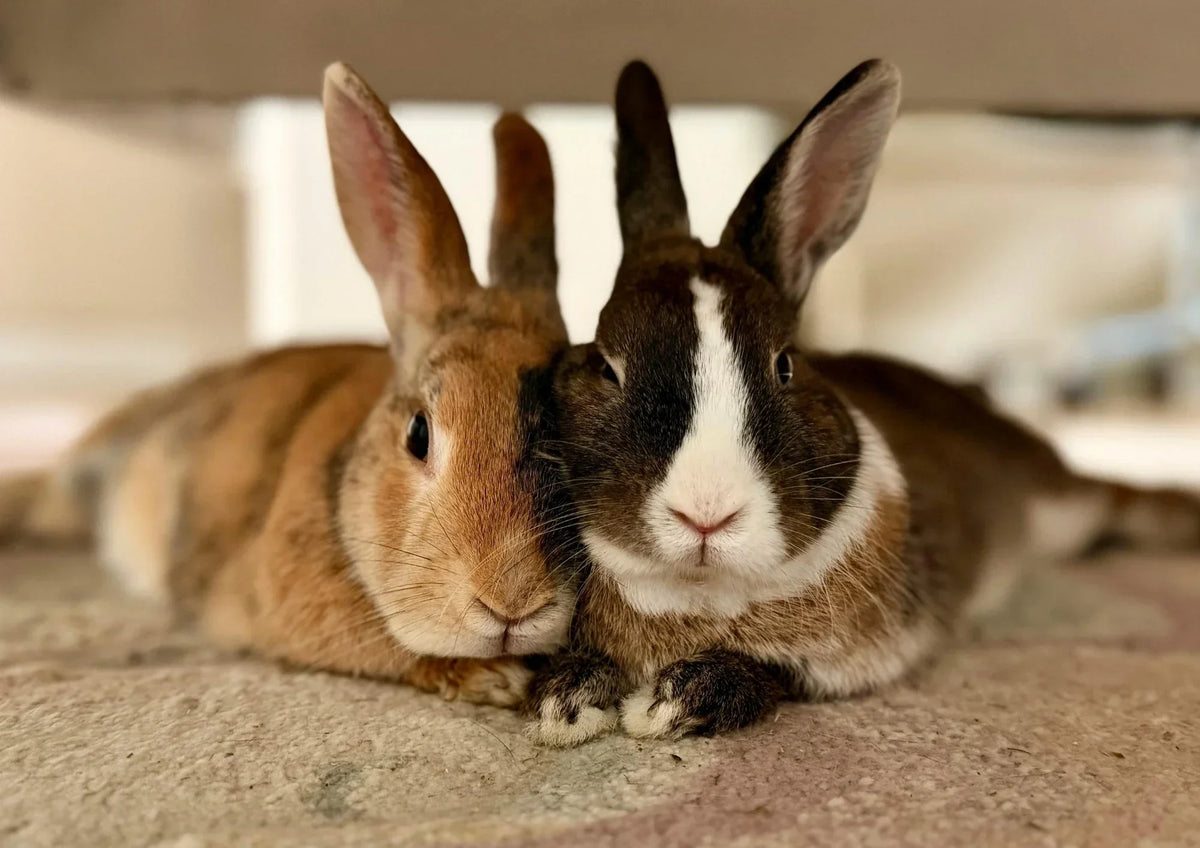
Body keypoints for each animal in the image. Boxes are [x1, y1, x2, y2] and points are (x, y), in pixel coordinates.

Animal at [523, 59, 1200, 745]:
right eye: (607, 365)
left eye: (785, 364)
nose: (706, 514)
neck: (702, 588)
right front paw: (563, 705)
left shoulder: (849, 659)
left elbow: (769, 673)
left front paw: (668, 705)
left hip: (1061, 503)